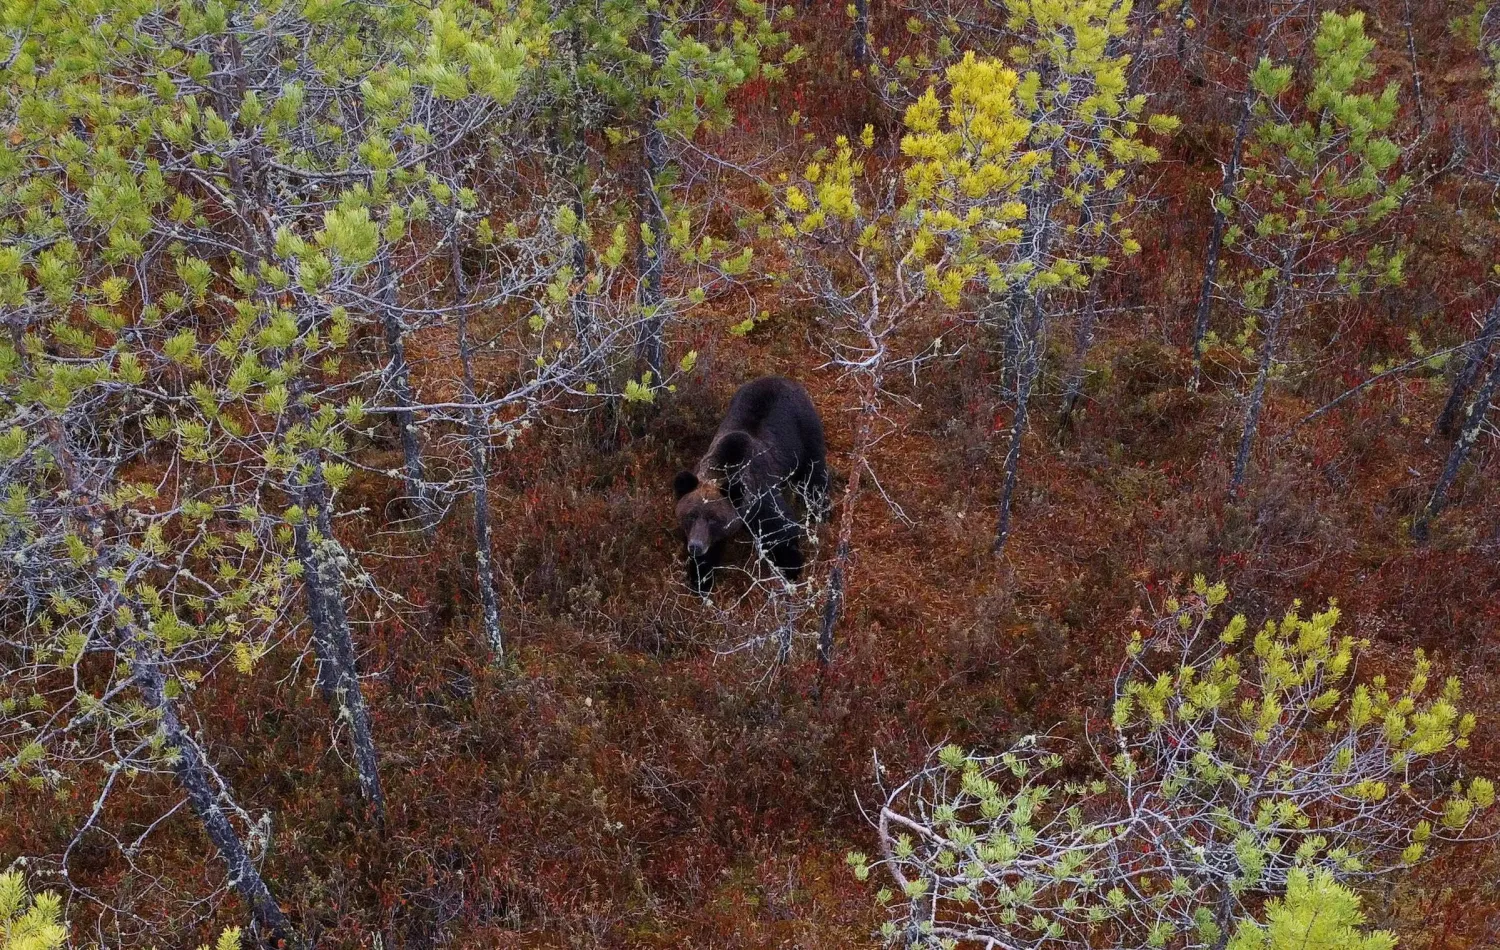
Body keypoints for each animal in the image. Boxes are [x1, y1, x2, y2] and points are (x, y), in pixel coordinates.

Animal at [673, 376, 830, 595]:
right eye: (690, 515)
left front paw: (791, 568)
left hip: (804, 430)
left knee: (813, 473)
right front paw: (700, 580)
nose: (696, 546)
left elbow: (782, 528)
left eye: (714, 519)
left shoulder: (761, 498)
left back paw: (820, 510)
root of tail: (783, 378)